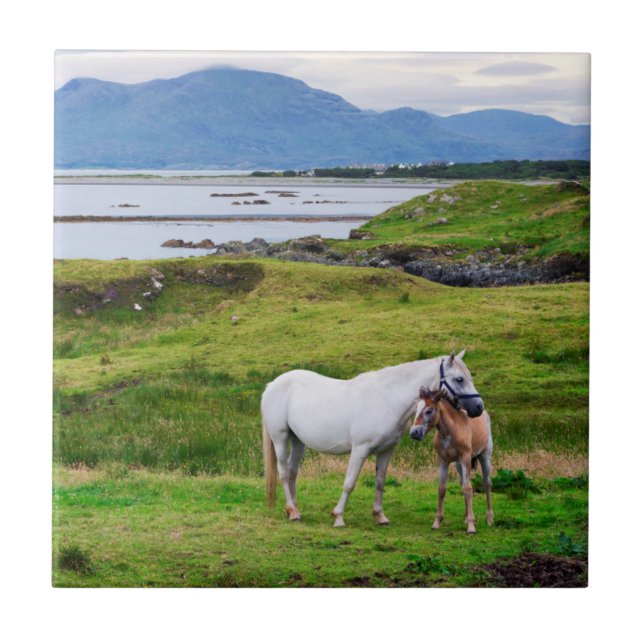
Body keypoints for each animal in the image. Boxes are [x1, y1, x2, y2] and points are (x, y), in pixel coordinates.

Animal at [261, 350, 484, 527]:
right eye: (459, 379)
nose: (478, 408)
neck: (388, 399)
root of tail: (272, 385)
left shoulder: (386, 450)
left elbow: (379, 482)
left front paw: (380, 516)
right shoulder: (360, 449)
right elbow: (349, 483)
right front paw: (338, 516)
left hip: (298, 441)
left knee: (292, 472)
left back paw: (294, 509)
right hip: (280, 438)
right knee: (284, 473)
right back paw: (292, 512)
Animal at [410, 387, 493, 534]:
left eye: (429, 410)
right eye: (416, 409)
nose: (414, 433)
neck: (450, 431)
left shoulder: (465, 457)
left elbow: (468, 488)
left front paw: (471, 526)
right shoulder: (443, 461)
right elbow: (442, 489)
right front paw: (437, 522)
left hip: (484, 457)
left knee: (487, 484)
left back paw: (489, 519)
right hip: (459, 464)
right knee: (463, 483)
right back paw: (466, 518)